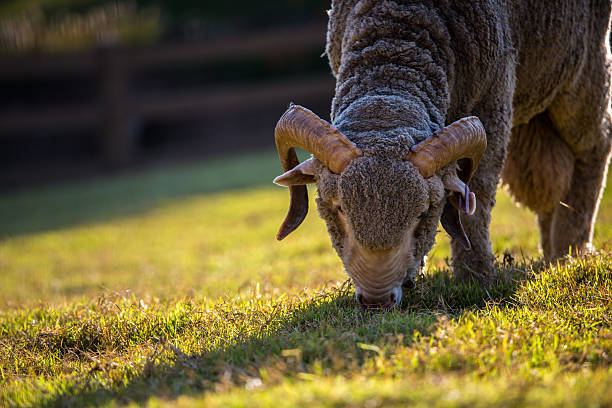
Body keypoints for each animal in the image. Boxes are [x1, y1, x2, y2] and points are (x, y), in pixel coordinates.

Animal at [272, 0, 612, 306]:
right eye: (338, 208)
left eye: (424, 213)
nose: (377, 299)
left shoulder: (493, 101)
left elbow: (477, 196)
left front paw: (475, 276)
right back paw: (552, 249)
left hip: (585, 71)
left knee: (594, 148)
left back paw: (572, 249)